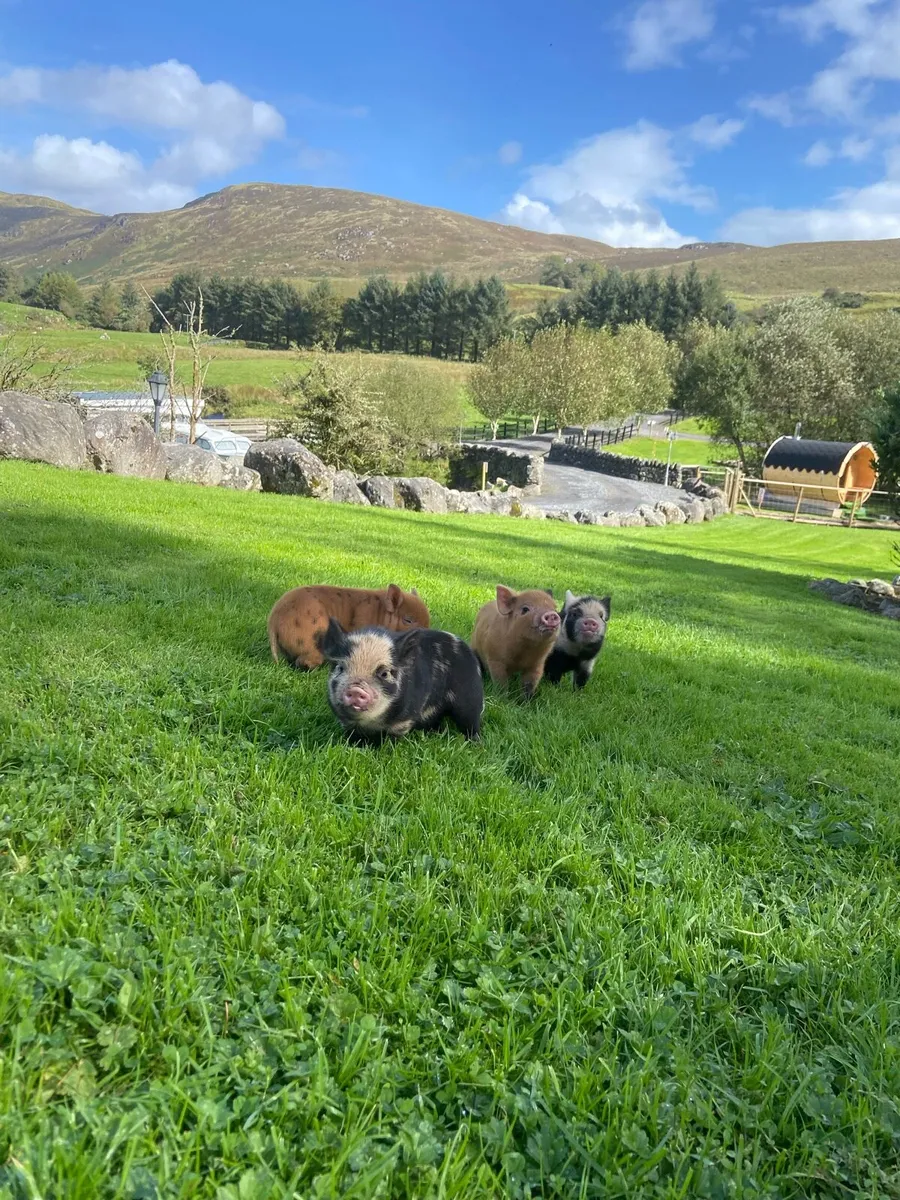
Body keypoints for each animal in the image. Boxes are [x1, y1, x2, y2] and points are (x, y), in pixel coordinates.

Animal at [320, 619, 484, 740]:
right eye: (340, 667)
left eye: (384, 673)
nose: (356, 689)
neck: (371, 723)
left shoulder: (404, 720)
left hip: (470, 698)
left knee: (471, 721)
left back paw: (475, 743)